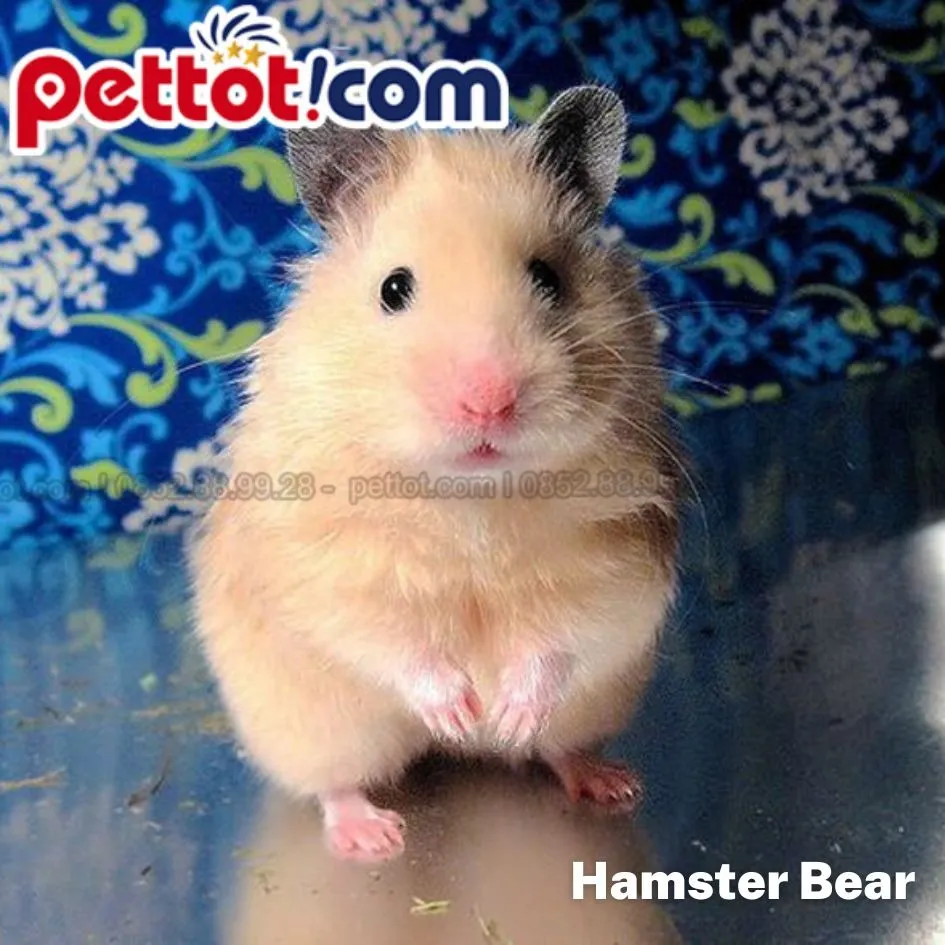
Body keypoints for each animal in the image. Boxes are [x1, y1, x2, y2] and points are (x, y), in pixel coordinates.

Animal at [189, 85, 681, 863]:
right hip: (315, 729)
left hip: (592, 706)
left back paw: (601, 780)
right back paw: (374, 834)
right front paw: (458, 707)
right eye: (394, 289)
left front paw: (503, 713)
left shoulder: (618, 563)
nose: (488, 400)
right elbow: (388, 638)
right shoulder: (329, 569)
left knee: (559, 746)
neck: (468, 494)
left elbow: (564, 637)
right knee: (335, 782)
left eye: (547, 278)